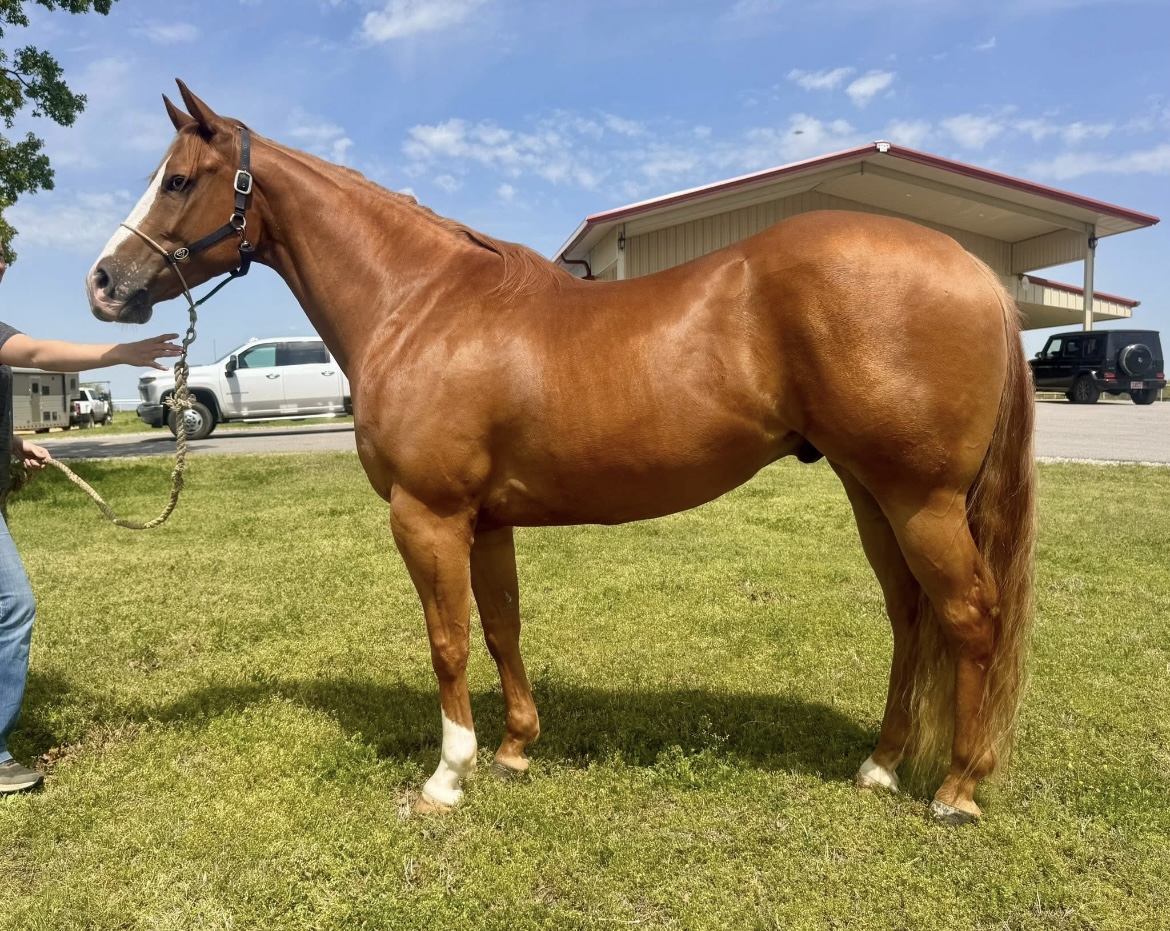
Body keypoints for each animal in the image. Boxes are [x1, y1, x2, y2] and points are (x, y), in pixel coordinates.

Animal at [86, 81, 1035, 824]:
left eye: (178, 179)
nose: (103, 283)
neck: (420, 302)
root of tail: (974, 270)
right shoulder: (486, 519)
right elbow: (501, 624)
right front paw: (514, 747)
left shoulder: (428, 516)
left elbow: (447, 639)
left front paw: (449, 774)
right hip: (873, 493)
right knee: (910, 617)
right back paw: (880, 765)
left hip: (921, 500)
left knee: (969, 617)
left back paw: (956, 788)